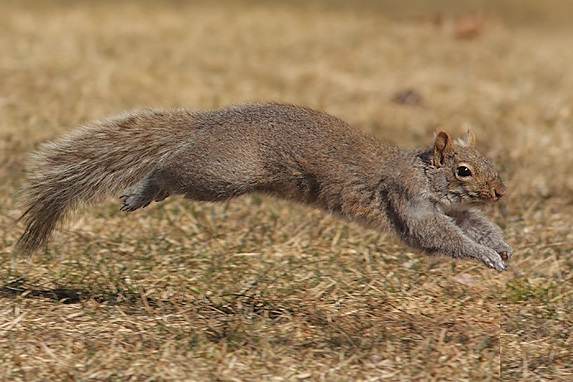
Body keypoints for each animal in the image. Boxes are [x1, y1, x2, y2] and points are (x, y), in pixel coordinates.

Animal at [15, 101, 512, 270]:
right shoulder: (406, 198)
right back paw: (142, 189)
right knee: (169, 168)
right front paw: (485, 256)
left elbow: (472, 223)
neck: (426, 174)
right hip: (222, 172)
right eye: (464, 170)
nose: (500, 193)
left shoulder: (453, 208)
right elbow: (434, 235)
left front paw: (502, 247)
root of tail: (212, 121)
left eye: (487, 163)